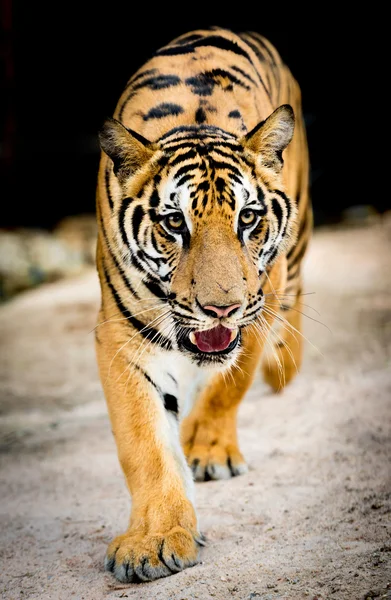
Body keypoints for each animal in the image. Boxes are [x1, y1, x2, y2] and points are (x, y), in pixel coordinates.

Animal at [96, 27, 314, 580]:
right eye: (175, 223)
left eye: (248, 217)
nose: (221, 309)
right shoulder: (121, 333)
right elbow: (144, 442)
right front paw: (153, 539)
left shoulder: (260, 300)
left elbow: (229, 382)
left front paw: (209, 450)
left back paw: (283, 367)